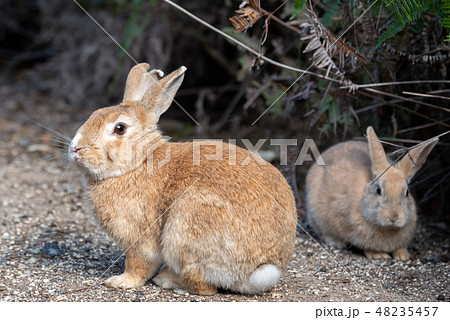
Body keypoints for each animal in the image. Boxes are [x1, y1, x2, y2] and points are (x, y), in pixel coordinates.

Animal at [67, 63, 298, 296]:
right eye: (94, 114)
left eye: (119, 128)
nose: (76, 148)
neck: (138, 163)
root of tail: (259, 269)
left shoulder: (140, 239)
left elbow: (138, 264)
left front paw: (121, 281)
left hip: (185, 229)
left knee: (204, 286)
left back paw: (167, 279)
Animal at [304, 126, 438, 262]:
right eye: (378, 190)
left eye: (407, 192)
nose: (394, 216)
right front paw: (380, 256)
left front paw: (403, 256)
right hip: (315, 214)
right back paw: (336, 243)